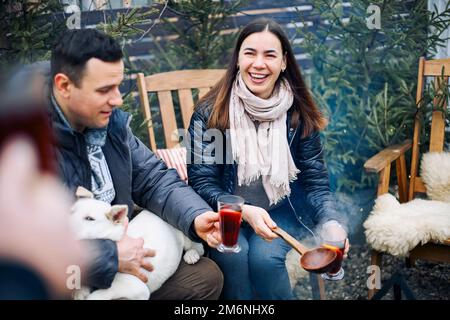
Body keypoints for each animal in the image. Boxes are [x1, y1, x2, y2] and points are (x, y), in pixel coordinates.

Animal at [70, 198, 204, 300]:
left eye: (89, 218)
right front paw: (80, 292)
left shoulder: (138, 289)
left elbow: (99, 295)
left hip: (186, 234)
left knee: (198, 247)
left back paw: (192, 255)